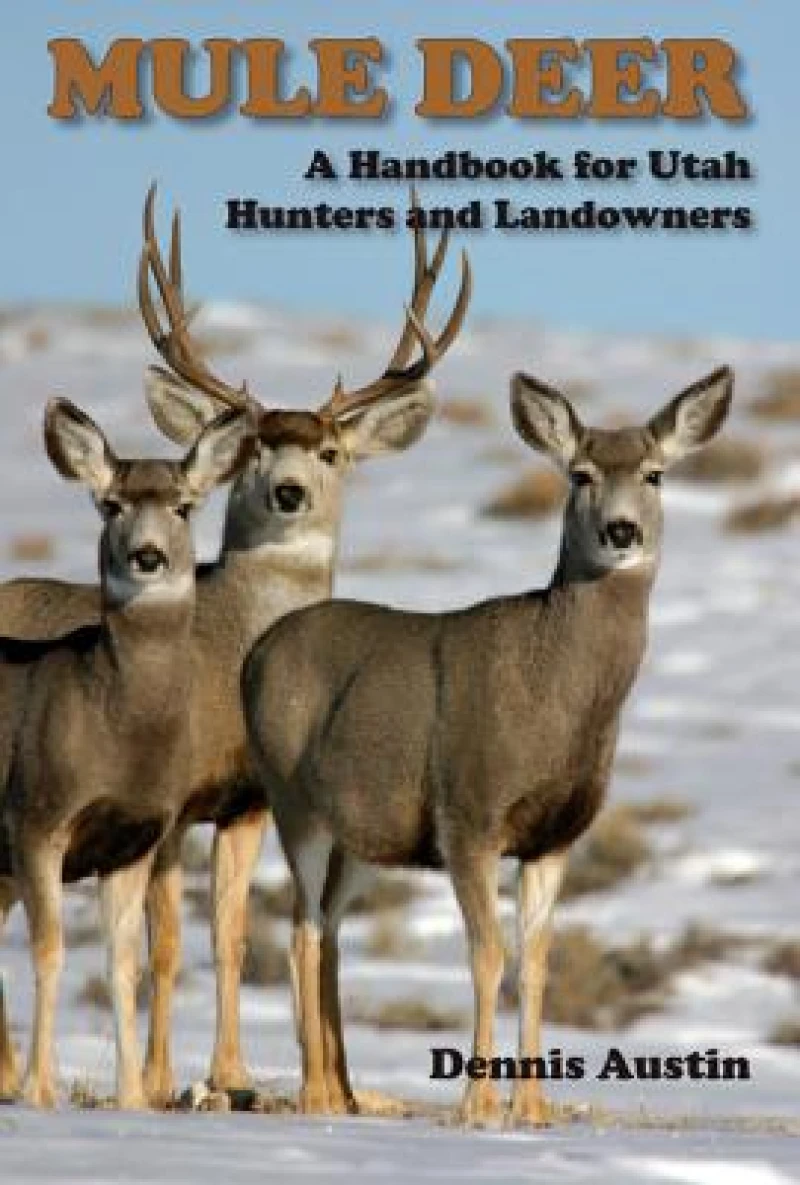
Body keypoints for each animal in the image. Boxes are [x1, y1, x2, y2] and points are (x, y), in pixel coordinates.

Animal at [0, 398, 253, 1109]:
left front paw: (134, 1097)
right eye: (110, 504)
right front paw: (39, 1091)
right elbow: (50, 950)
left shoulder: (134, 838)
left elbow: (123, 964)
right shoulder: (37, 818)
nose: (147, 556)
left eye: (184, 506)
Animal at [242, 364, 733, 1124]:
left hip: (363, 838)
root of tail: (255, 652)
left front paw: (532, 1108)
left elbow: (536, 962)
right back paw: (318, 1097)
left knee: (323, 927)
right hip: (293, 799)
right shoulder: (468, 813)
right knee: (303, 932)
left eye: (654, 473)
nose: (620, 529)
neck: (554, 695)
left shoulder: (555, 835)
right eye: (581, 473)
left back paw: (341, 1093)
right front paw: (477, 1103)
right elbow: (487, 955)